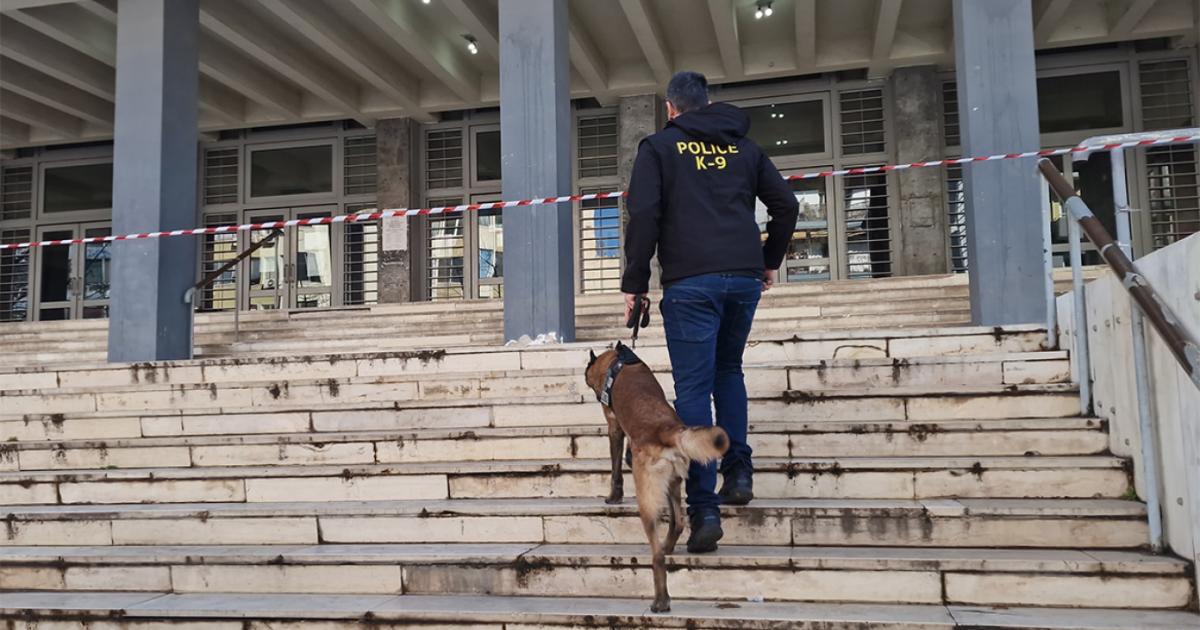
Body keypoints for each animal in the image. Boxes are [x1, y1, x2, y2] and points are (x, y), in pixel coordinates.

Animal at [585, 342, 729, 613]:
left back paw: (661, 599)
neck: (616, 361)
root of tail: (667, 430)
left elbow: (615, 468)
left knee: (657, 556)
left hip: (647, 499)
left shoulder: (614, 426)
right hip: (672, 483)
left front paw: (613, 496)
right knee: (678, 523)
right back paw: (669, 545)